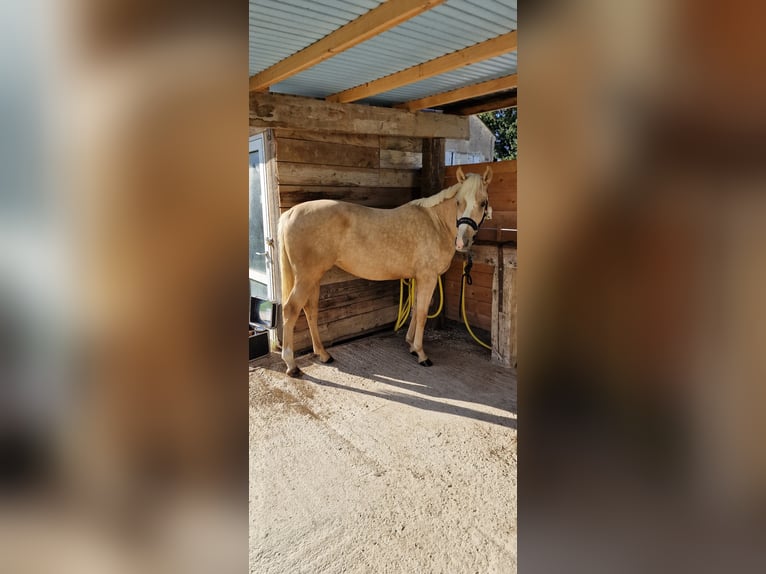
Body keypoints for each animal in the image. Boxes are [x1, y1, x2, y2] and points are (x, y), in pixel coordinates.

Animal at [280, 166, 496, 378]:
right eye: (459, 202)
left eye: (483, 203)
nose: (462, 242)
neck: (435, 223)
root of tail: (290, 213)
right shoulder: (428, 277)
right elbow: (423, 312)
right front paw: (421, 354)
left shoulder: (418, 277)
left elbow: (415, 308)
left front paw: (411, 345)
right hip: (306, 278)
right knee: (291, 310)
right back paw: (292, 365)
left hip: (314, 277)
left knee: (310, 310)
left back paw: (323, 354)